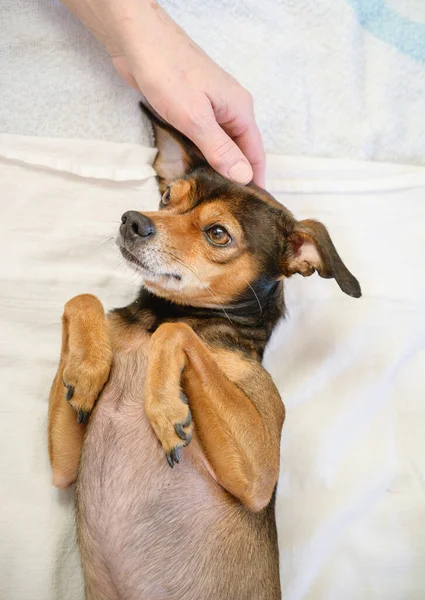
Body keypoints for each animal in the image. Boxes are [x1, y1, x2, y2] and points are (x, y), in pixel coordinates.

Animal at [47, 108, 362, 600]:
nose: (132, 220)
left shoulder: (259, 474)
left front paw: (164, 407)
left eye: (217, 234)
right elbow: (83, 298)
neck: (159, 315)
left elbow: (174, 333)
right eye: (166, 196)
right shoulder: (63, 468)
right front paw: (88, 369)